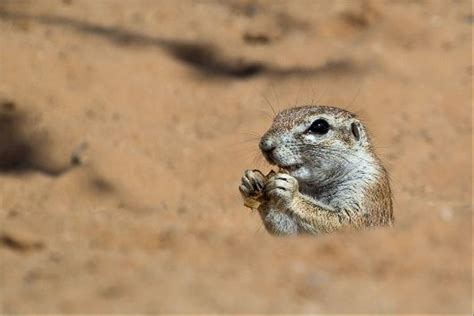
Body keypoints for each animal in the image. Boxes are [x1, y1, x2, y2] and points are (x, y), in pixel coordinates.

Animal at [241, 105, 392, 233]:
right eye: (276, 119)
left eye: (319, 126)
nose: (264, 145)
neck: (317, 185)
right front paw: (250, 181)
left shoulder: (367, 187)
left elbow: (346, 222)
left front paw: (290, 192)